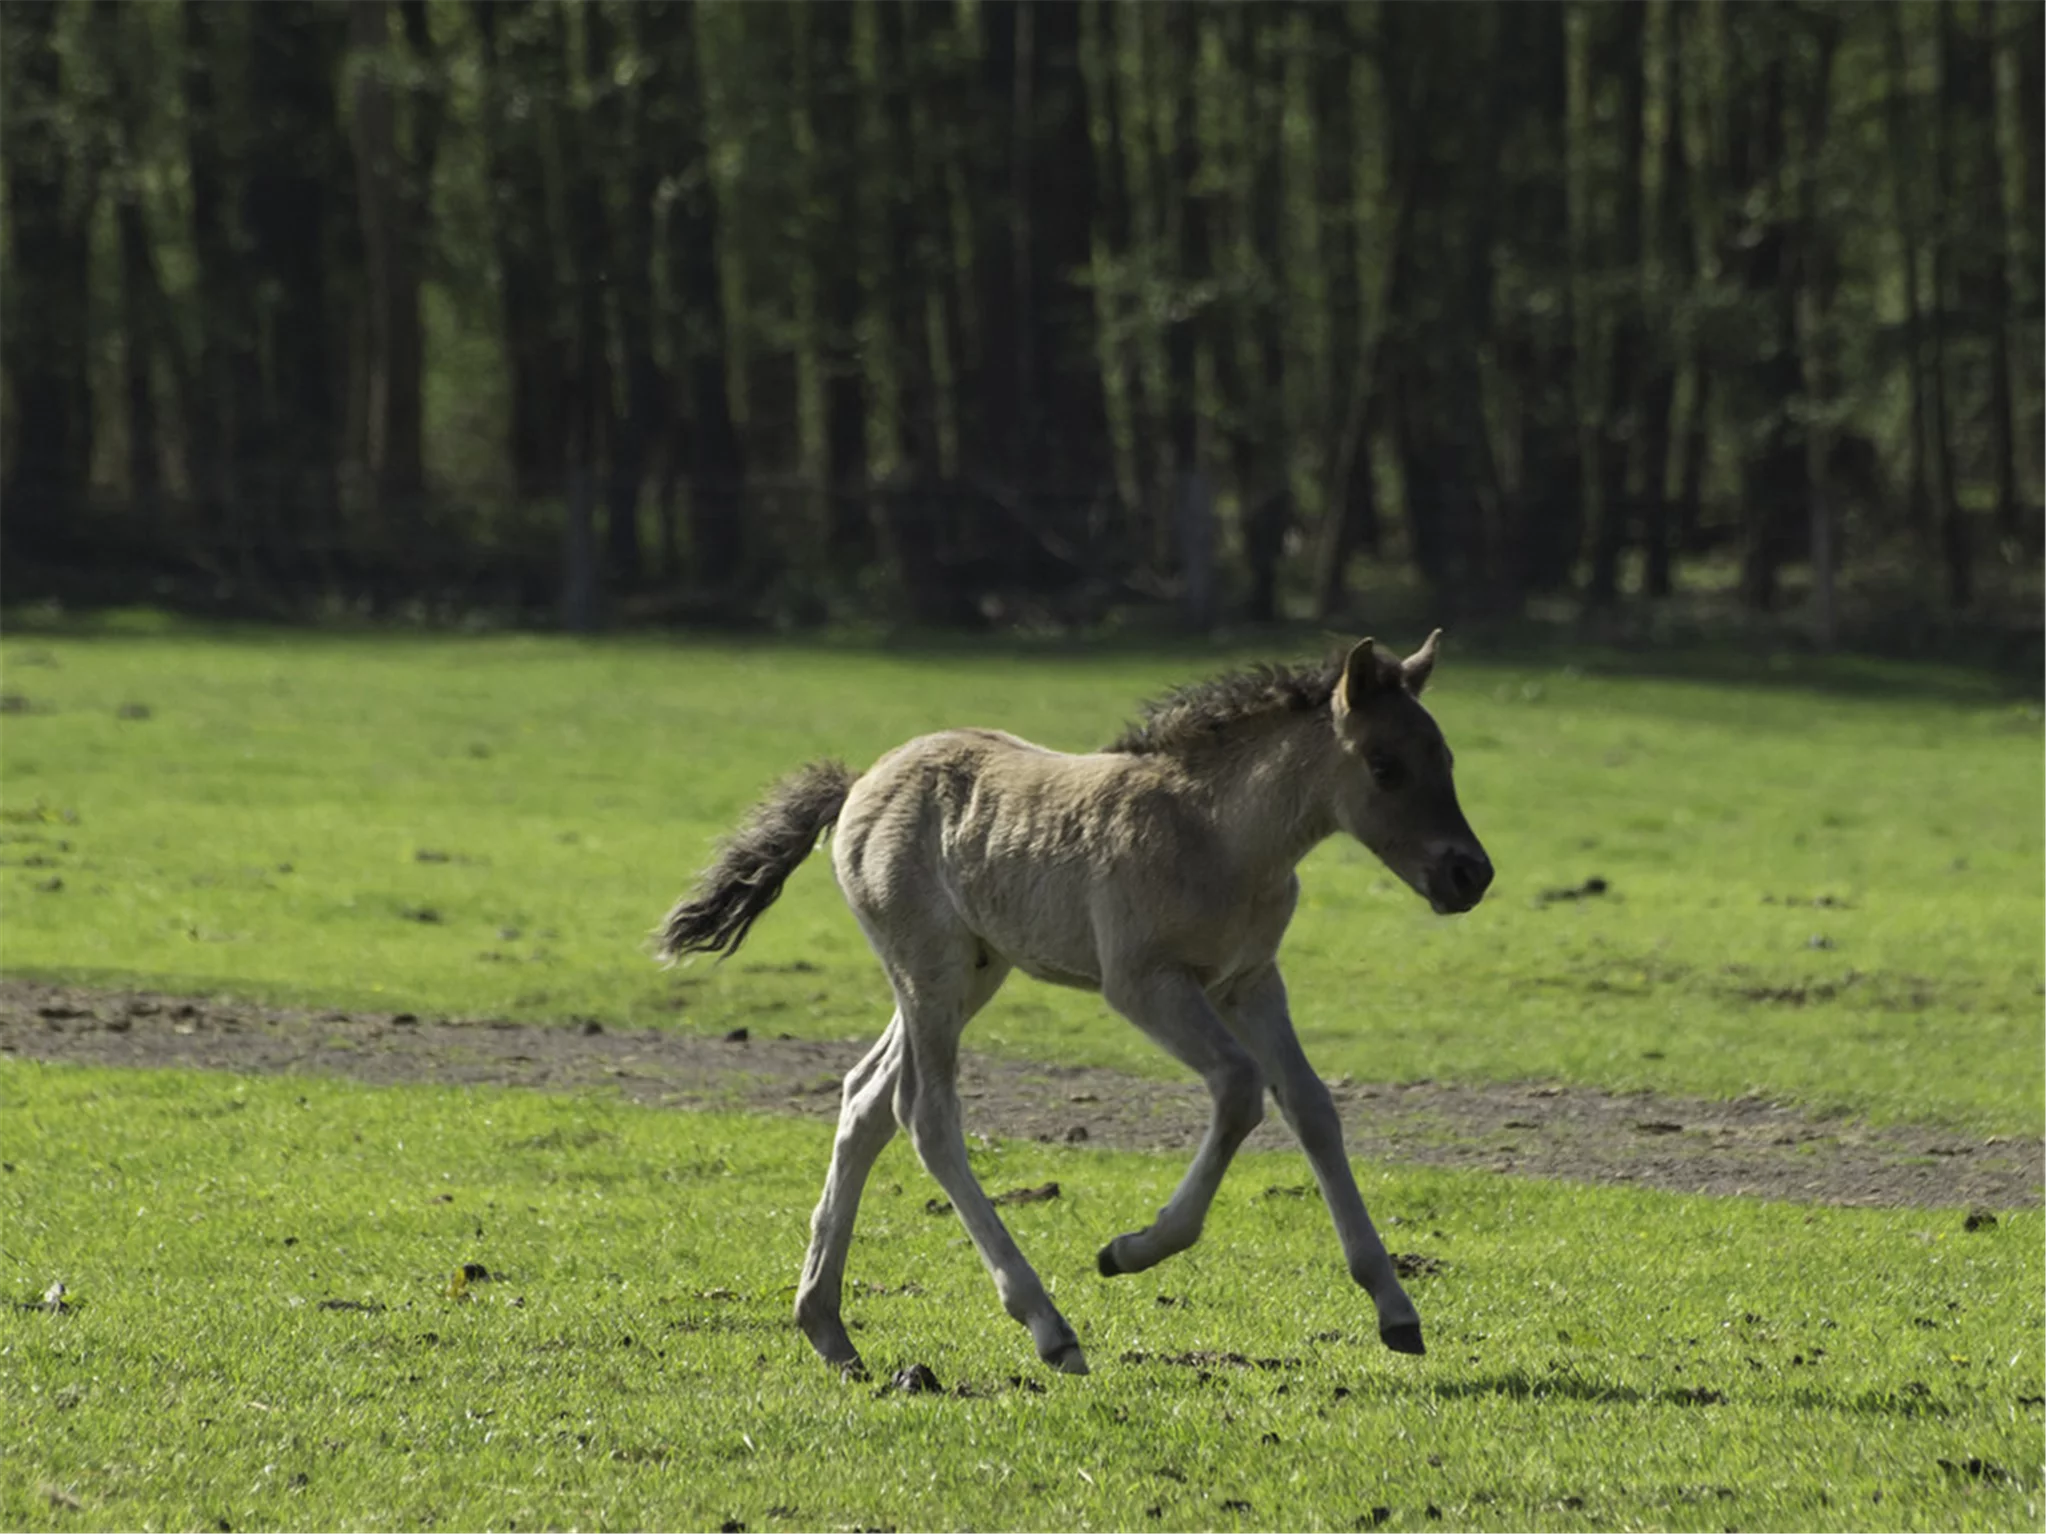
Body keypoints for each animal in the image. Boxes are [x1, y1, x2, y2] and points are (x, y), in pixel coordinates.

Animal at [662, 638, 1497, 1382]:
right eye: (1385, 766)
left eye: (1448, 760)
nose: (1470, 875)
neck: (1222, 835)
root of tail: (860, 782)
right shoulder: (1144, 983)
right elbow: (1238, 1089)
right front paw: (1129, 1250)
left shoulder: (1252, 981)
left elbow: (1311, 1106)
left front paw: (1396, 1308)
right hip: (930, 972)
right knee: (924, 1115)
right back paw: (1048, 1327)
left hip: (971, 973)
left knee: (865, 1100)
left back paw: (828, 1330)